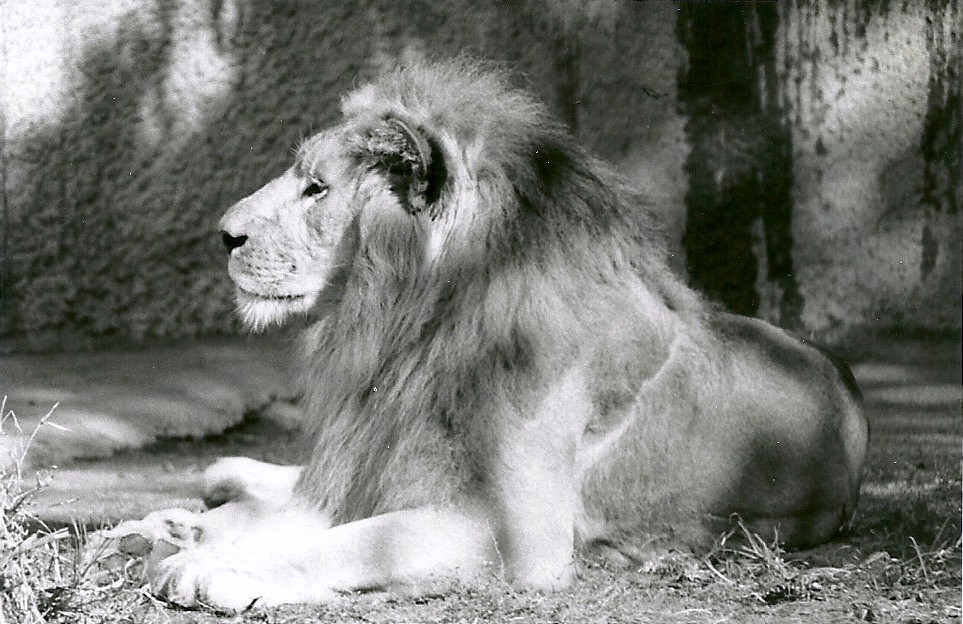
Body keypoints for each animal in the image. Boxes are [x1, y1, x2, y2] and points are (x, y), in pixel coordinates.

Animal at [100, 59, 868, 611]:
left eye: (316, 188)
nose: (223, 234)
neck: (414, 335)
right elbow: (317, 519)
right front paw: (180, 537)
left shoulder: (522, 536)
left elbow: (358, 541)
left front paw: (211, 566)